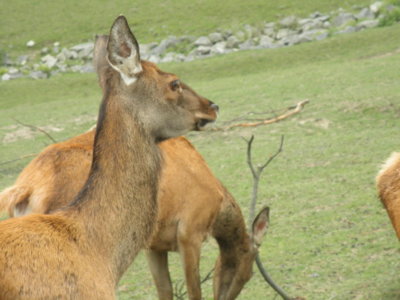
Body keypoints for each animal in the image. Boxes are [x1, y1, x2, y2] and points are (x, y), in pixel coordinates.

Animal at [0, 36, 268, 298]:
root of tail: (23, 189)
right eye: (174, 82)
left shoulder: (153, 245)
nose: (212, 106)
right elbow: (193, 292)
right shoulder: (189, 231)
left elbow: (165, 290)